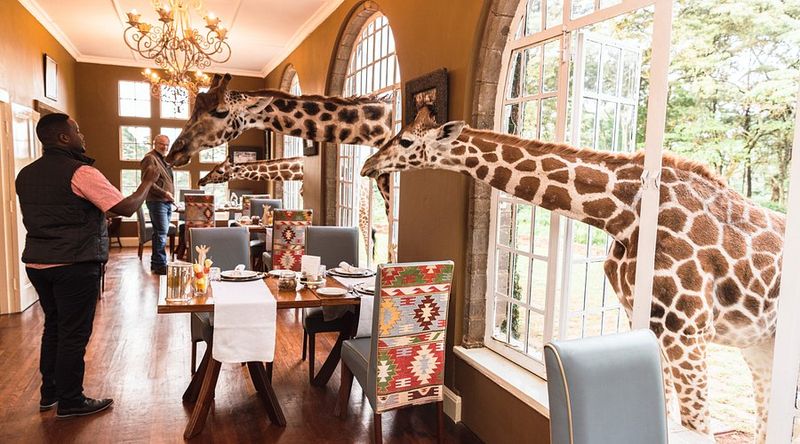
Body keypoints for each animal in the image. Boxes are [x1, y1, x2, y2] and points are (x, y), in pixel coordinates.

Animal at [361, 106, 784, 442]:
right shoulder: (648, 324)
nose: (368, 165)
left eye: (403, 140)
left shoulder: (687, 331)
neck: (623, 214)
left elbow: (699, 424)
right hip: (759, 344)